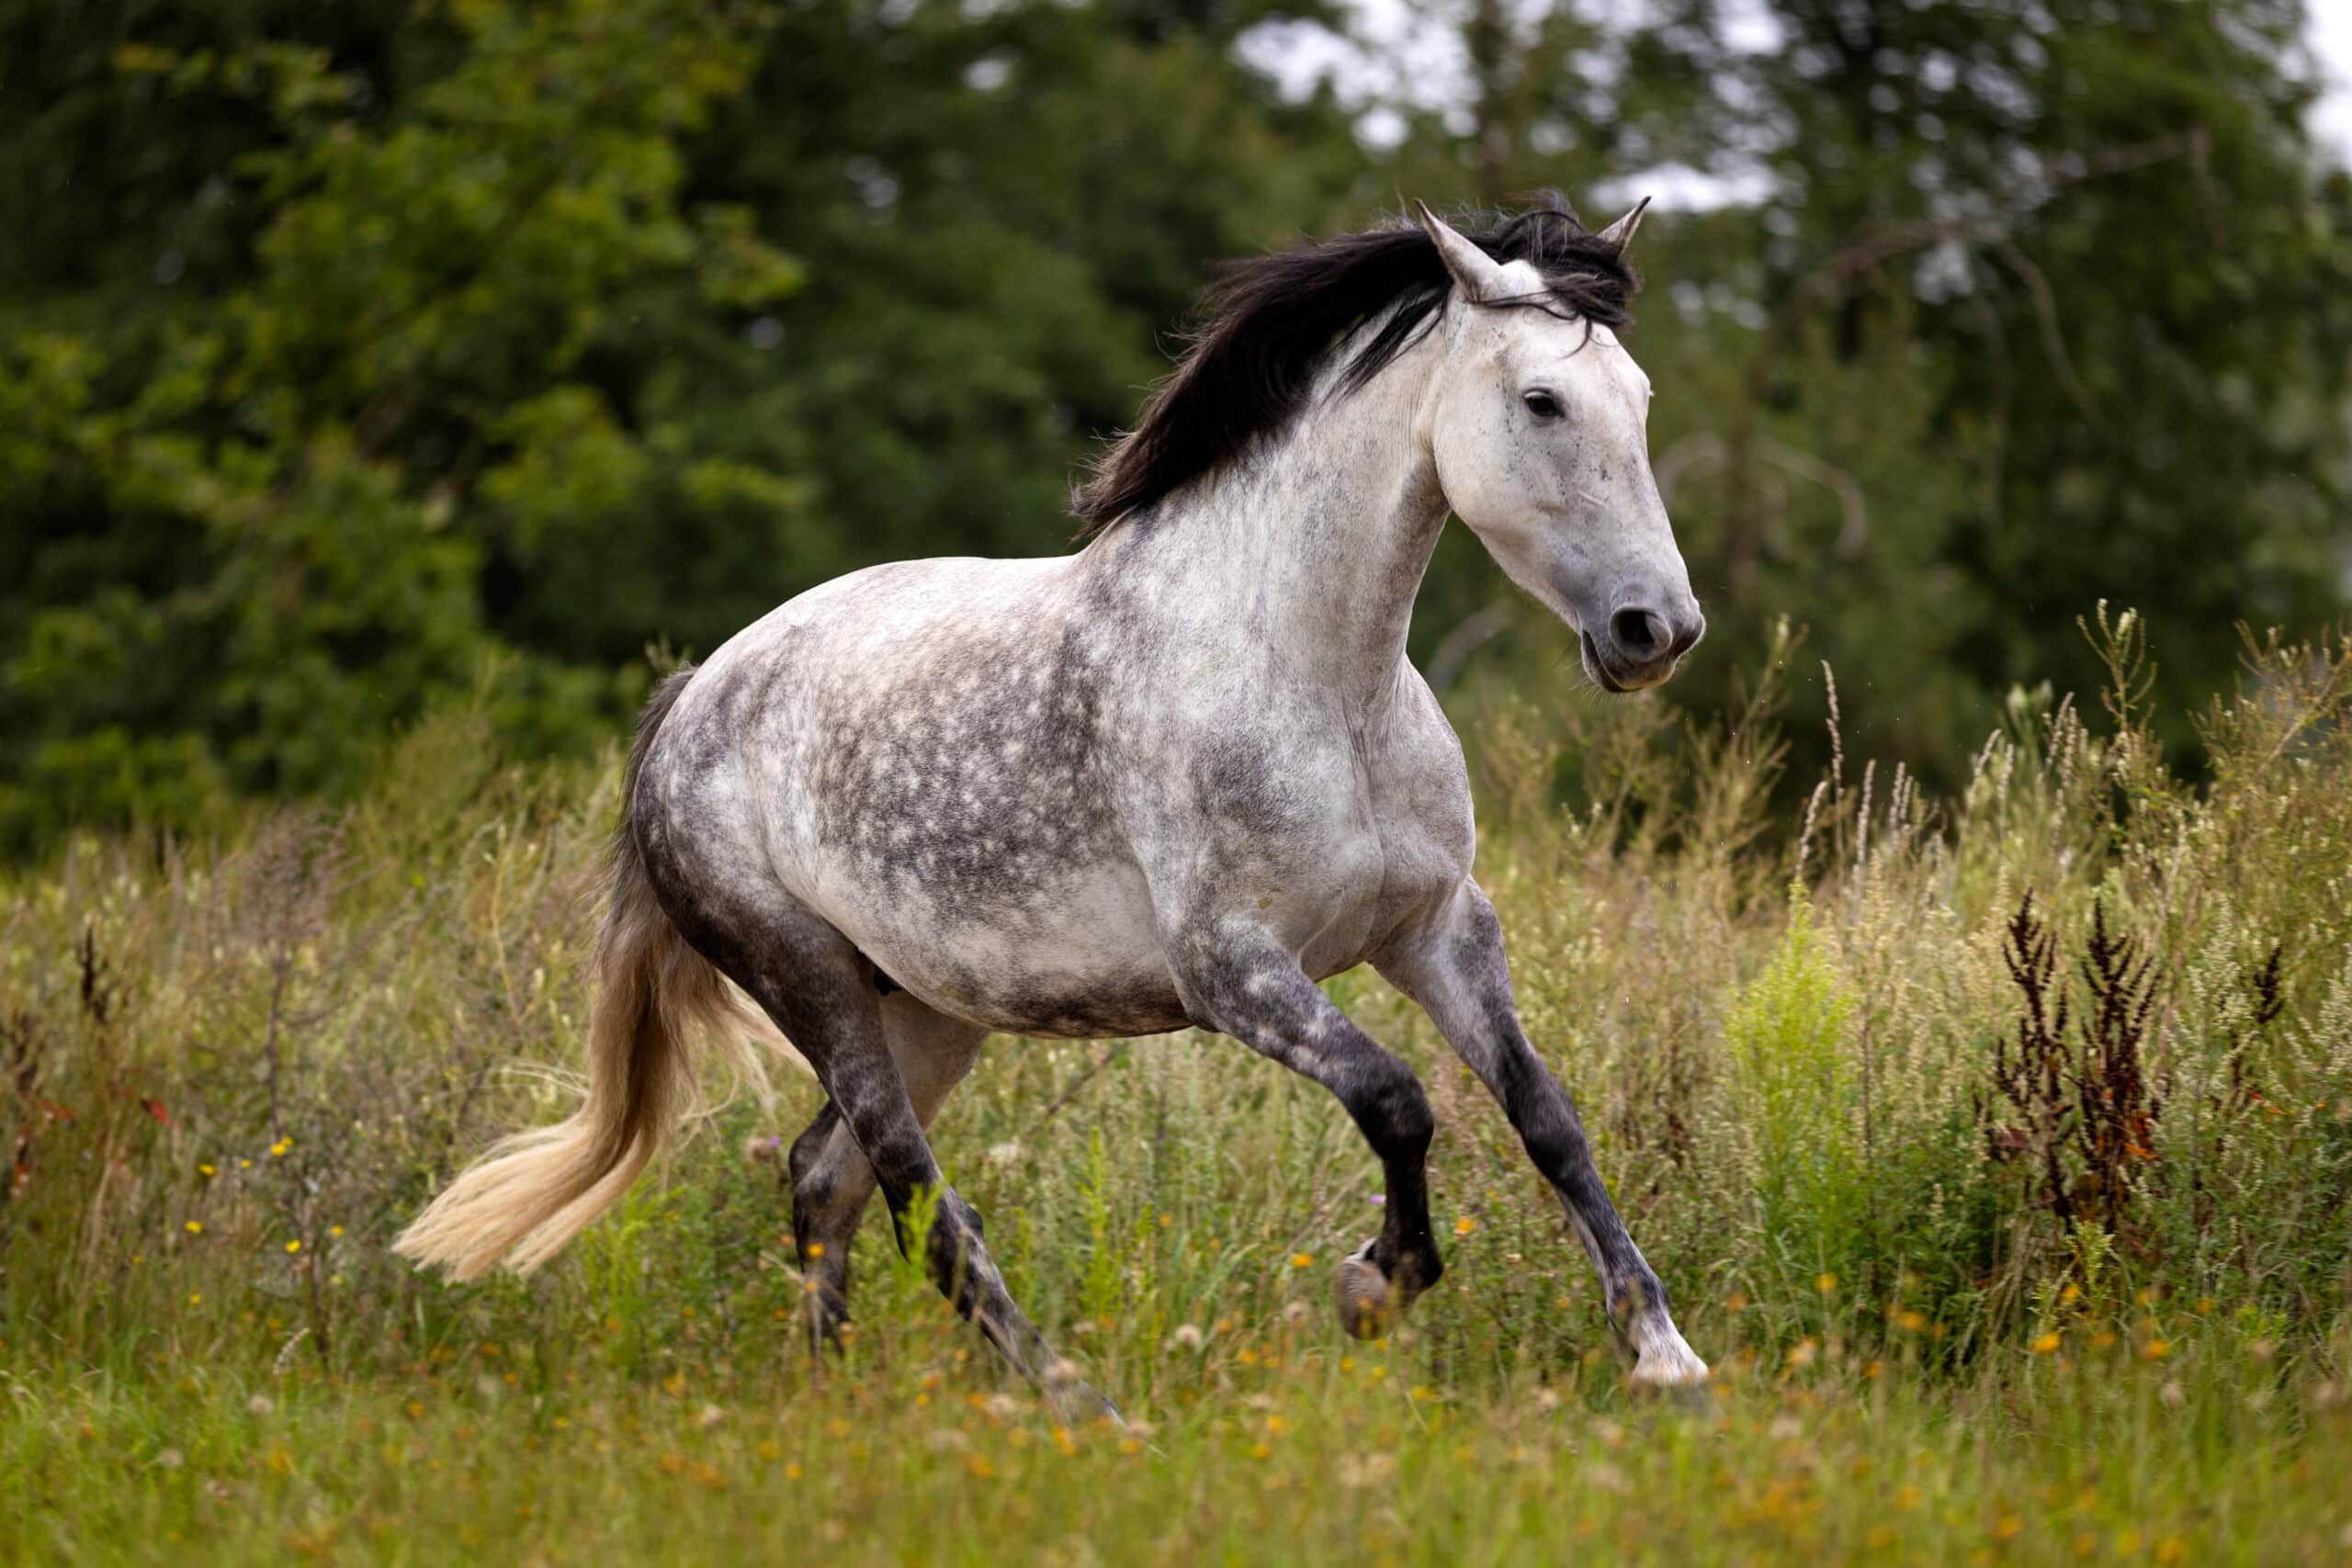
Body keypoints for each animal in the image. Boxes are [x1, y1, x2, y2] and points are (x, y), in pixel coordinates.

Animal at [397, 195, 1711, 1417]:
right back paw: (1079, 1406)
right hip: (808, 981)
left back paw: (831, 1401)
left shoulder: (1439, 929)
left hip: (926, 1009)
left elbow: (1546, 1118)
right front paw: (1371, 1287)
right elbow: (1398, 1101)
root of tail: (690, 701)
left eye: (1643, 396)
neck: (1318, 679)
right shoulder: (1233, 972)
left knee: (824, 1178)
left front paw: (1664, 1359)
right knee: (921, 1204)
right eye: (1541, 401)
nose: (1656, 630)